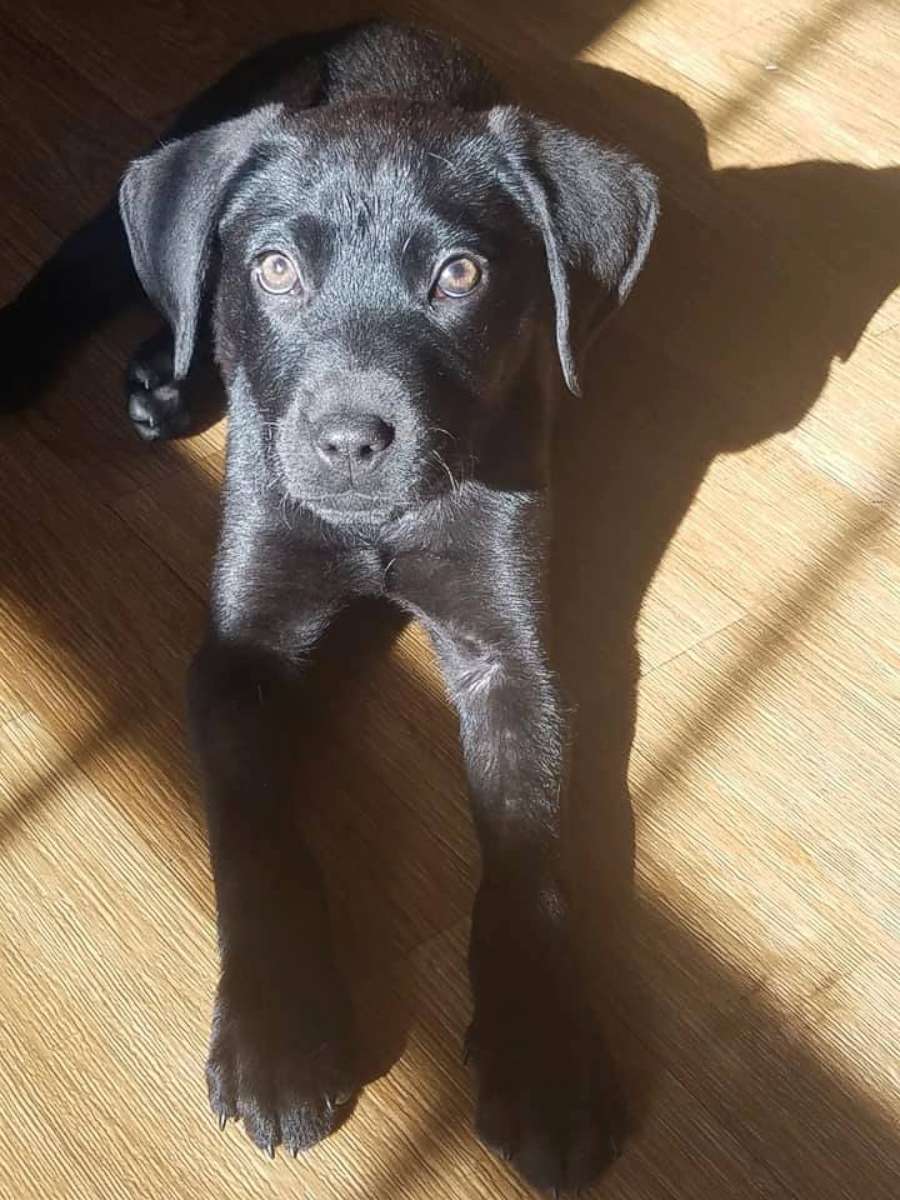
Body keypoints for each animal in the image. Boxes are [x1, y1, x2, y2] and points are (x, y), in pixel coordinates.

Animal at [15, 21, 662, 1200]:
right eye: (277, 268)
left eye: (461, 275)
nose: (352, 442)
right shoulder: (244, 647)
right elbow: (254, 834)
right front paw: (278, 1038)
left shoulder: (510, 654)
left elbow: (529, 847)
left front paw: (545, 1055)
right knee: (119, 270)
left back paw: (168, 378)